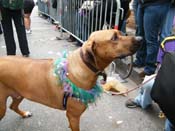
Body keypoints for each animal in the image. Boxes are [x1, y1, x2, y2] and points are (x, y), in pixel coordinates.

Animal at [0, 29, 142, 131]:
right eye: (114, 38)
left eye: (121, 33)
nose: (140, 39)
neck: (84, 64)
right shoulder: (73, 116)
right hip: (2, 105)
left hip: (19, 93)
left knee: (13, 106)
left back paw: (24, 114)